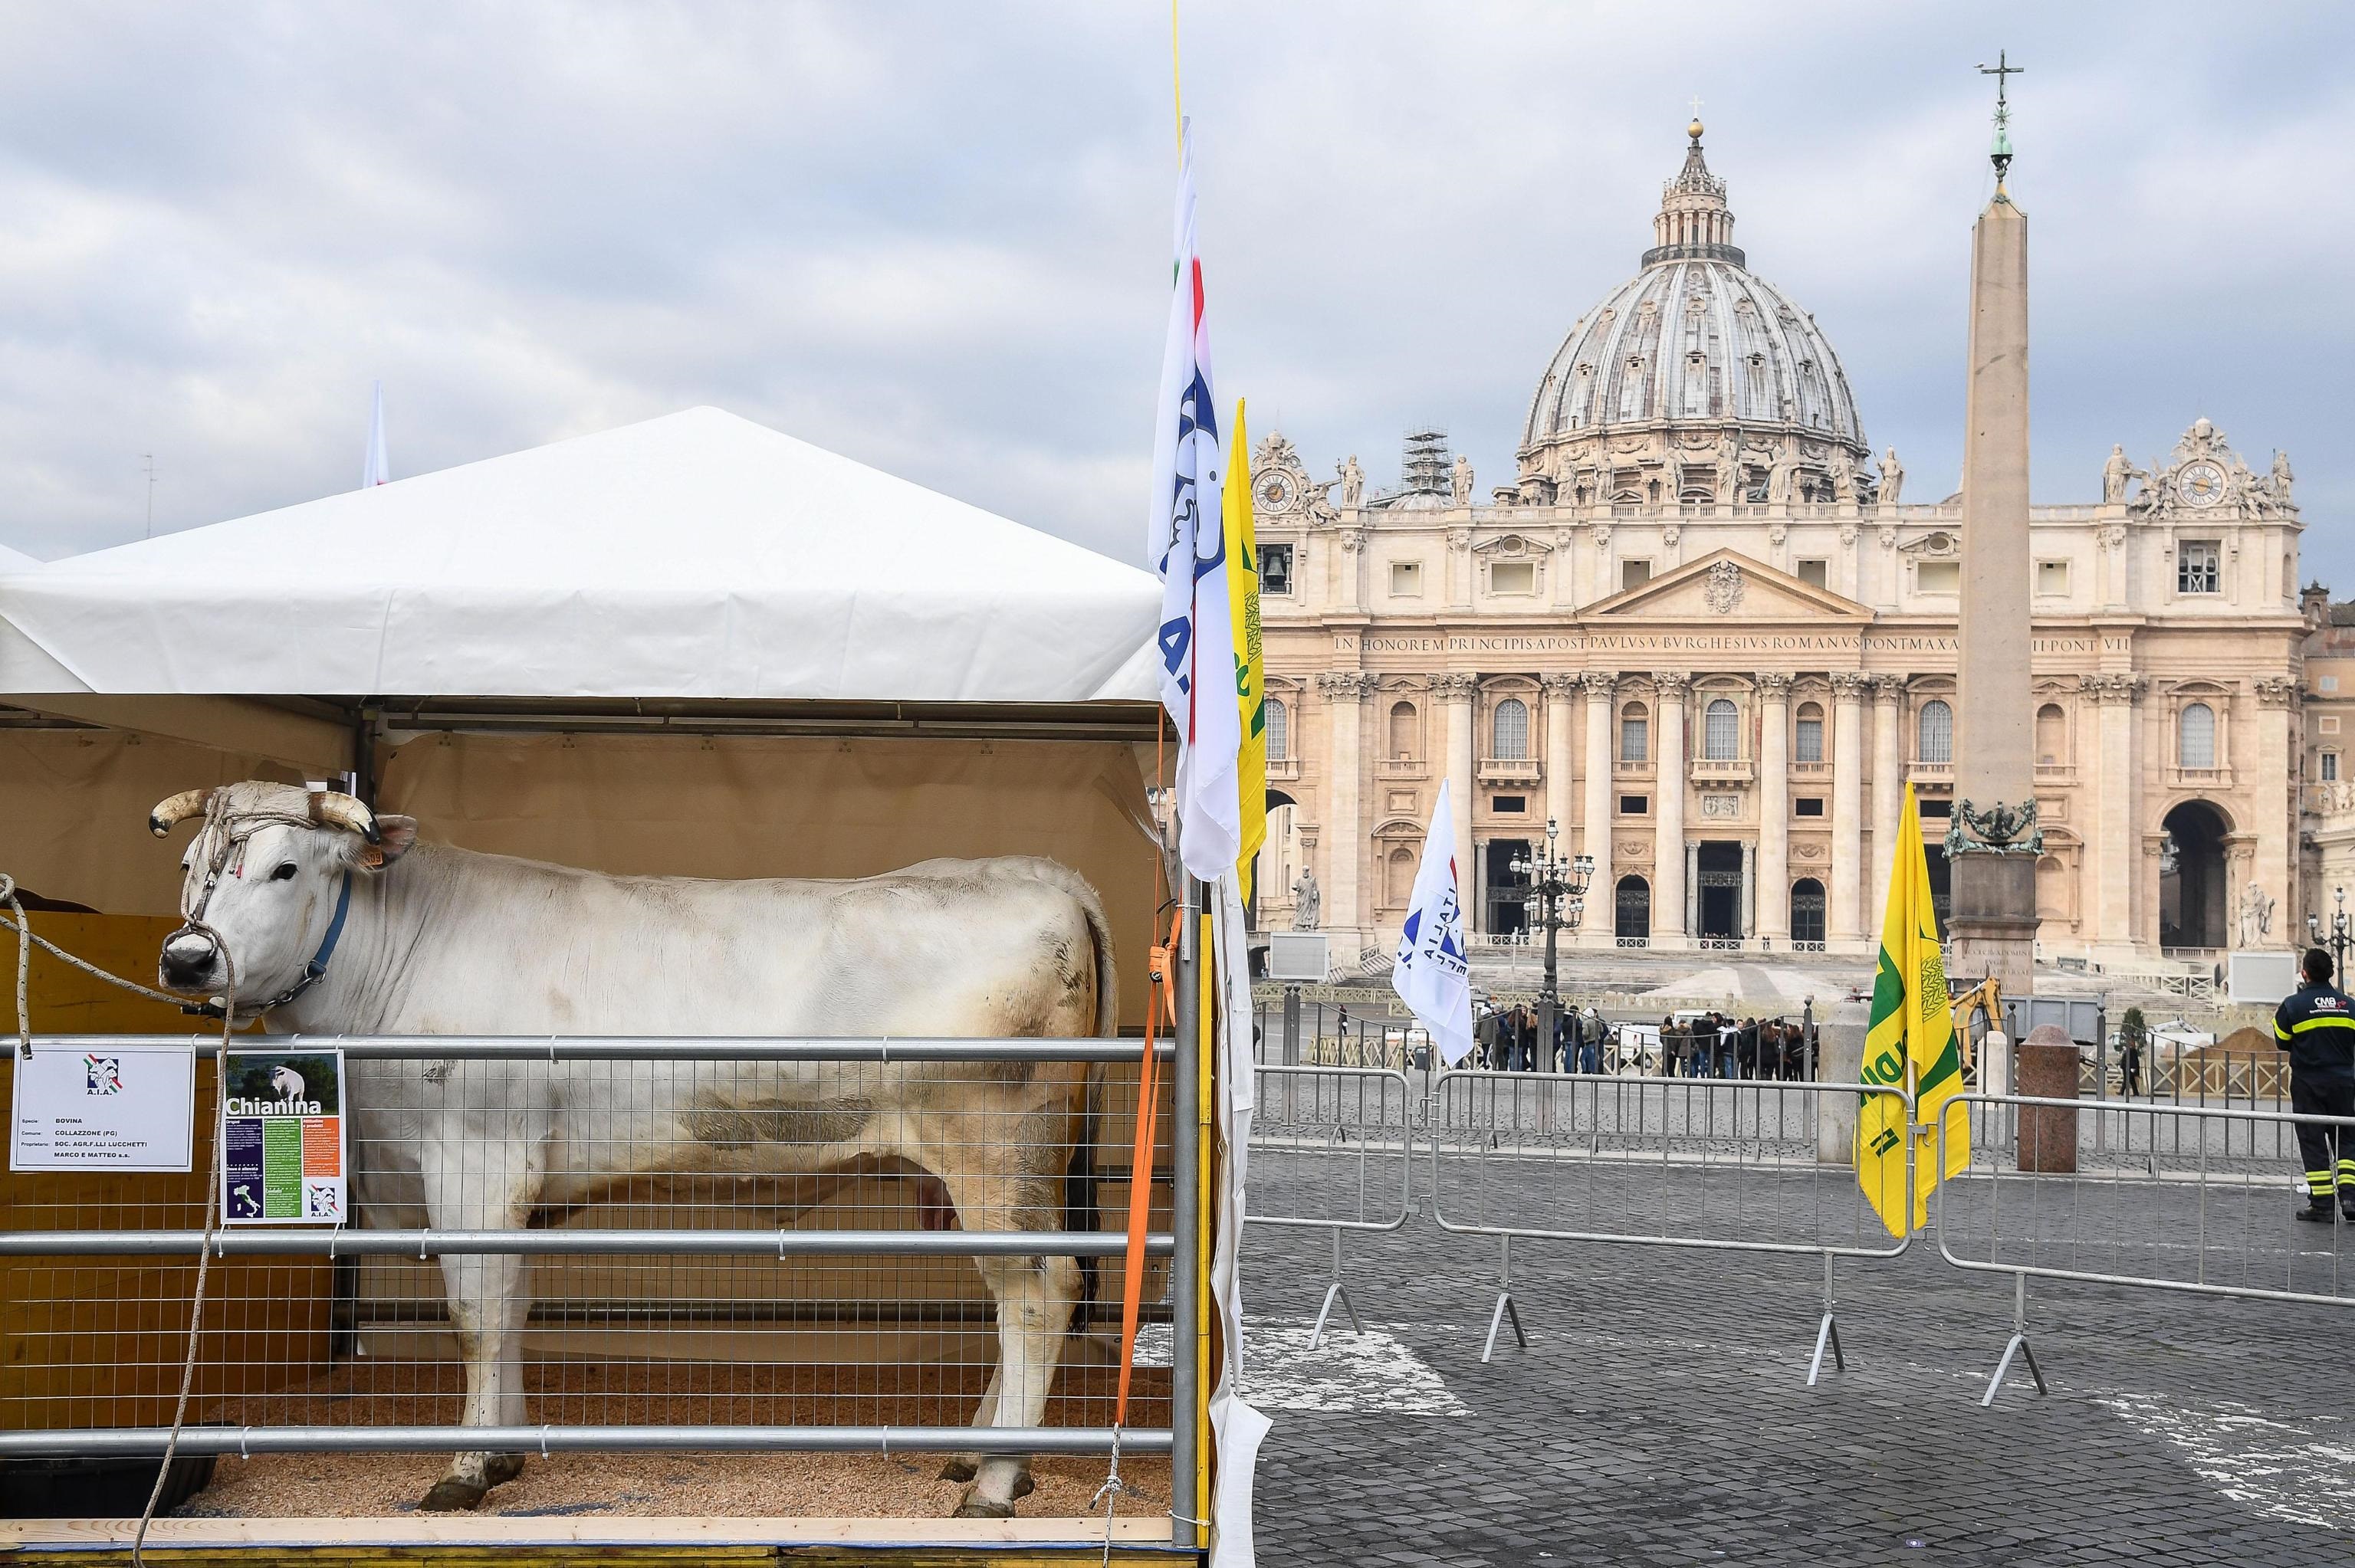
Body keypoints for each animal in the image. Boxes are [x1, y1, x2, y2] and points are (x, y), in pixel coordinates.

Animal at [152, 781, 1116, 1516]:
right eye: (190, 868)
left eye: (284, 868)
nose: (188, 960)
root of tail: (1038, 873)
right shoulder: (508, 1181)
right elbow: (512, 1307)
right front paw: (504, 1452)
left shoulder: (476, 1158)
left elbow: (474, 1316)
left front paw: (464, 1469)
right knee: (1018, 1296)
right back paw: (975, 1452)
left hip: (996, 1150)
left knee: (1039, 1293)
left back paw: (996, 1483)